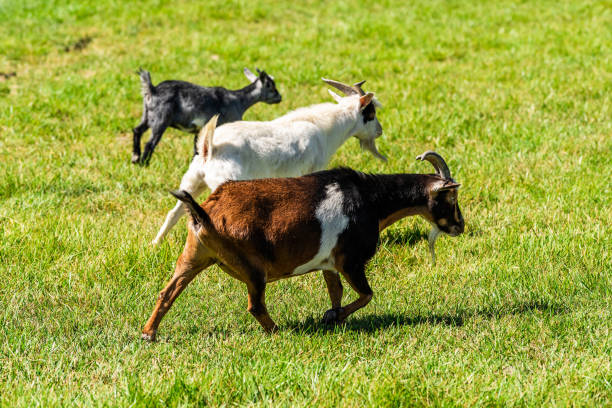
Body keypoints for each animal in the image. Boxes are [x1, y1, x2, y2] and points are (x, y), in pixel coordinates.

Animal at [141, 151, 462, 340]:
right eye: (451, 198)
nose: (460, 226)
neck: (372, 200)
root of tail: (205, 211)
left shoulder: (329, 263)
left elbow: (336, 291)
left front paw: (335, 317)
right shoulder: (351, 261)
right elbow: (367, 295)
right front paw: (331, 317)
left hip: (193, 256)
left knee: (167, 293)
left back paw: (148, 333)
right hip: (253, 268)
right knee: (255, 305)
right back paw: (278, 332)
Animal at [151, 79, 384, 245]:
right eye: (371, 113)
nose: (380, 131)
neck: (323, 127)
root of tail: (210, 147)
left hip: (193, 180)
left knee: (174, 212)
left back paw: (156, 244)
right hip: (223, 183)